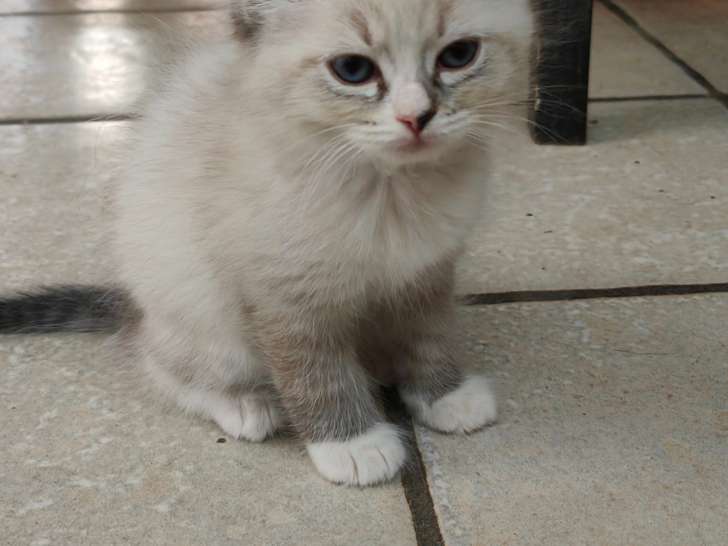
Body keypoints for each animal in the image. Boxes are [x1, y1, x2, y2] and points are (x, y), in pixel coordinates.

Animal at [1, 0, 536, 484]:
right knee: (165, 366)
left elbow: (430, 336)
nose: (416, 117)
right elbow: (316, 372)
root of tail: (136, 309)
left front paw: (444, 394)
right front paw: (351, 445)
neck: (390, 192)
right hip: (201, 310)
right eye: (353, 70)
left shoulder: (426, 274)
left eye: (458, 55)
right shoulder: (286, 294)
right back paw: (246, 406)